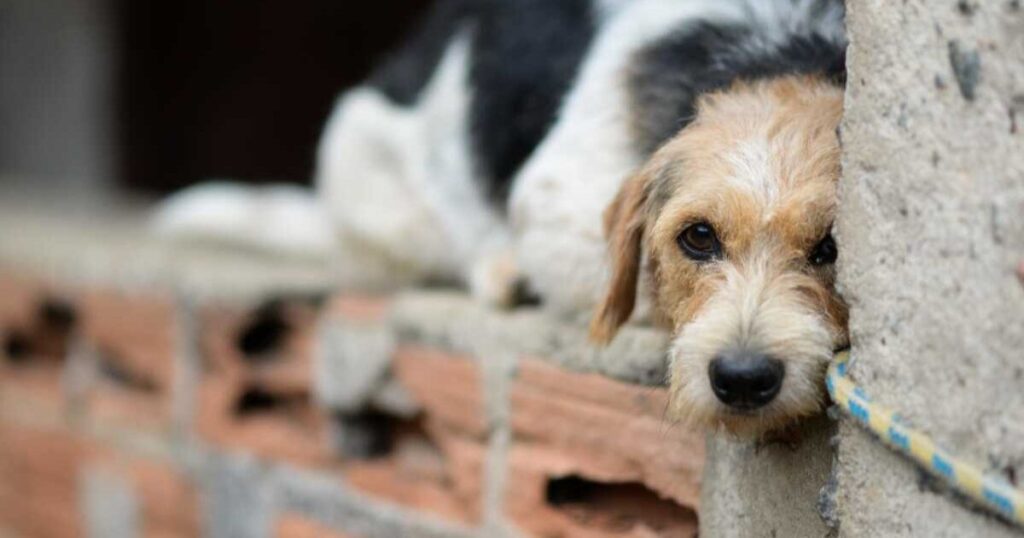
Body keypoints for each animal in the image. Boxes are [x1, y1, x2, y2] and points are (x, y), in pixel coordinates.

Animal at [155, 0, 847, 434]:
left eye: (832, 247)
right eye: (698, 237)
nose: (743, 379)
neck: (779, 50)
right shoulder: (554, 202)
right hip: (369, 171)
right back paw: (501, 270)